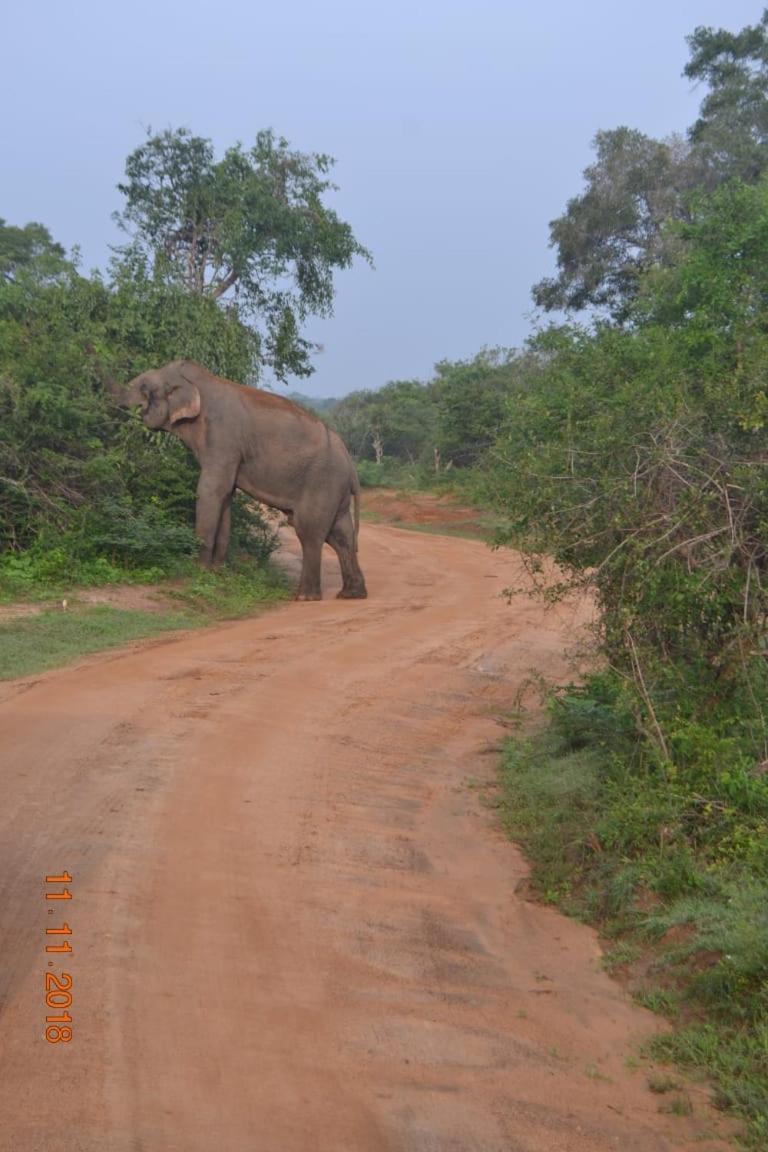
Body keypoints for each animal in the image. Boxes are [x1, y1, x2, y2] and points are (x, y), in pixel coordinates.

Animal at [106, 359, 368, 599]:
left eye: (143, 387)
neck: (198, 380)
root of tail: (351, 465)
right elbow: (225, 495)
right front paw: (217, 570)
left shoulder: (223, 438)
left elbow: (210, 490)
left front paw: (199, 571)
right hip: (335, 488)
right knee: (340, 534)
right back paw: (350, 594)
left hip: (322, 482)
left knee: (309, 531)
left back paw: (305, 597)